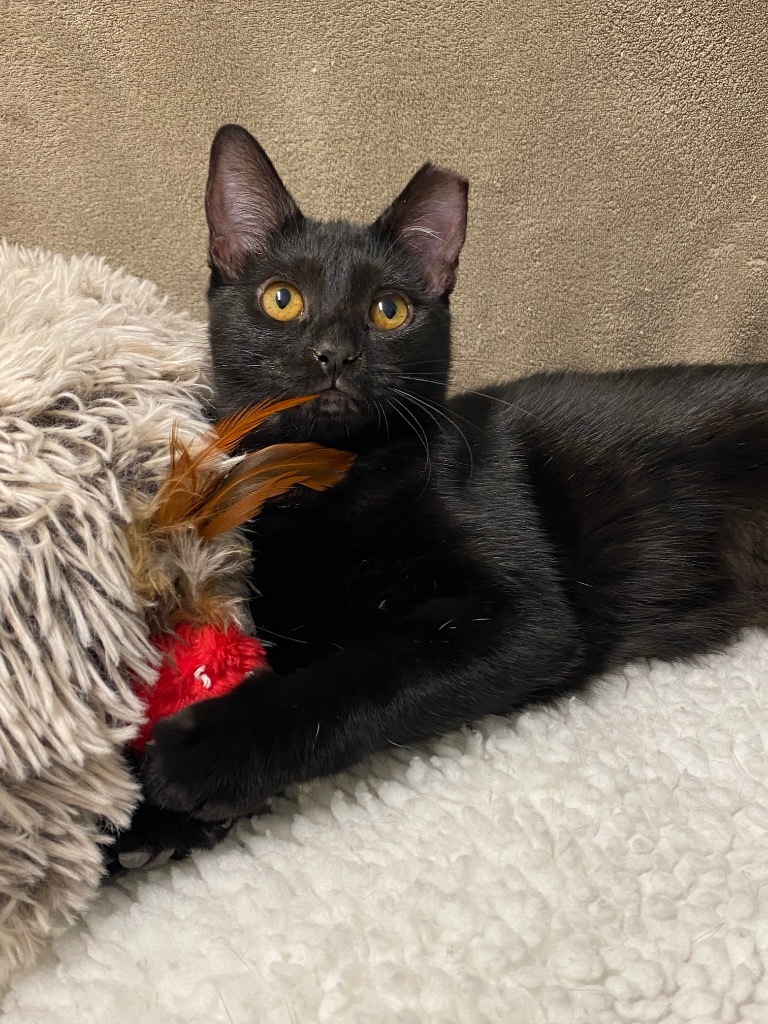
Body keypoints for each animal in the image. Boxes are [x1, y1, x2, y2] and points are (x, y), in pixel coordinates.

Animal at [107, 121, 768, 864]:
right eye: (282, 298)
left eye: (389, 310)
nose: (335, 353)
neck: (328, 484)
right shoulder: (293, 625)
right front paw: (127, 816)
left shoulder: (524, 618)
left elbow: (361, 676)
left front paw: (202, 755)